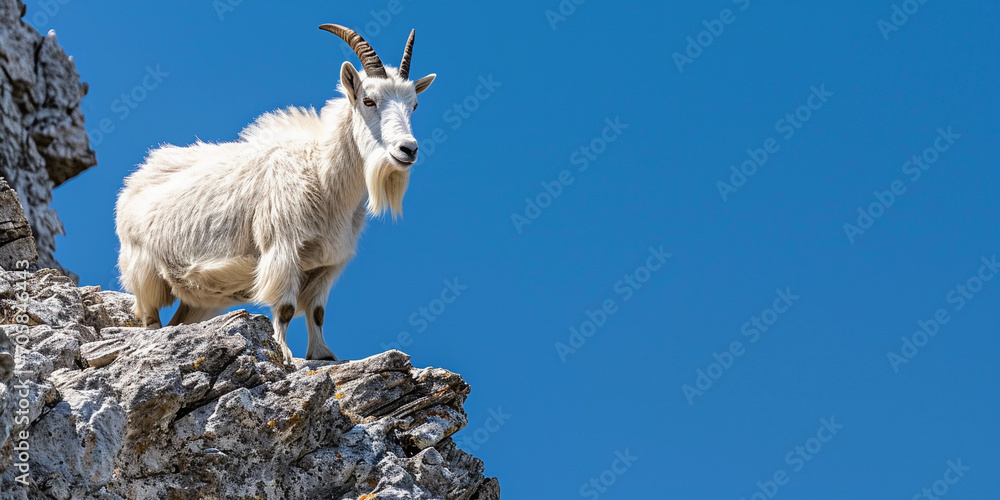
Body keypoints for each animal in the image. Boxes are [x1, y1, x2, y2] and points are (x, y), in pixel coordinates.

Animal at [114, 24, 436, 363]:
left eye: (414, 105)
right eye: (368, 100)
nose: (408, 149)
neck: (322, 174)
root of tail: (132, 184)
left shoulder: (326, 265)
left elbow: (317, 313)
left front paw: (323, 354)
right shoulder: (283, 249)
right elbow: (285, 309)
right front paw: (284, 353)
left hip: (200, 298)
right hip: (145, 272)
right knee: (150, 315)